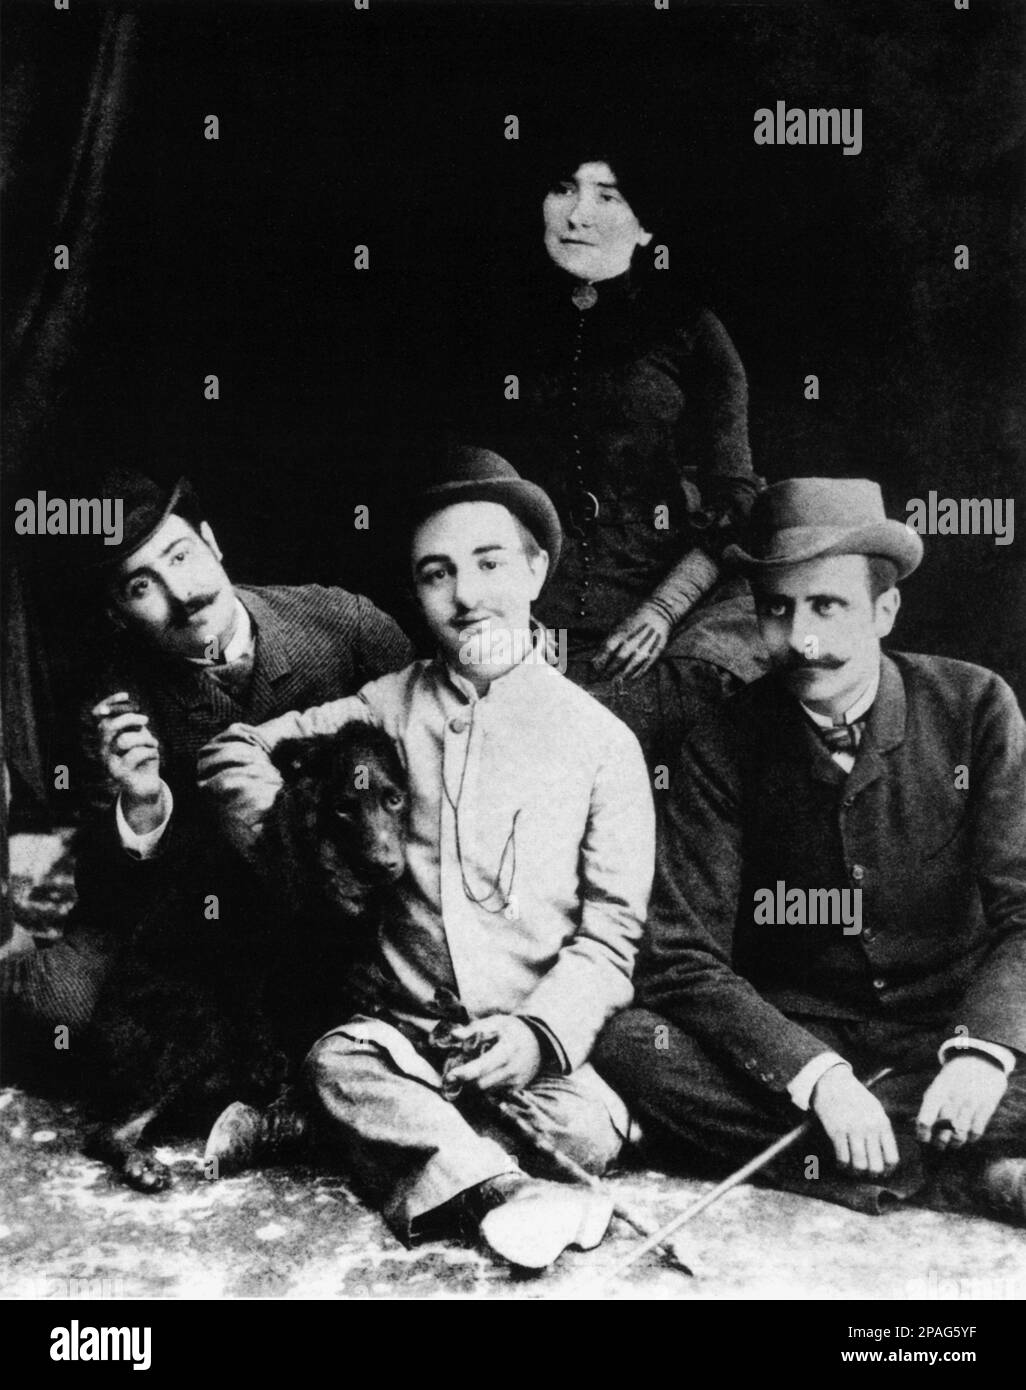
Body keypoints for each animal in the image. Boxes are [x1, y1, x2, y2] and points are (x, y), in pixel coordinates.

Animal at [84, 722, 405, 1189]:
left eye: (394, 799)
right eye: (344, 808)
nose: (388, 866)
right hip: (199, 1022)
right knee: (108, 1129)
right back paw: (143, 1163)